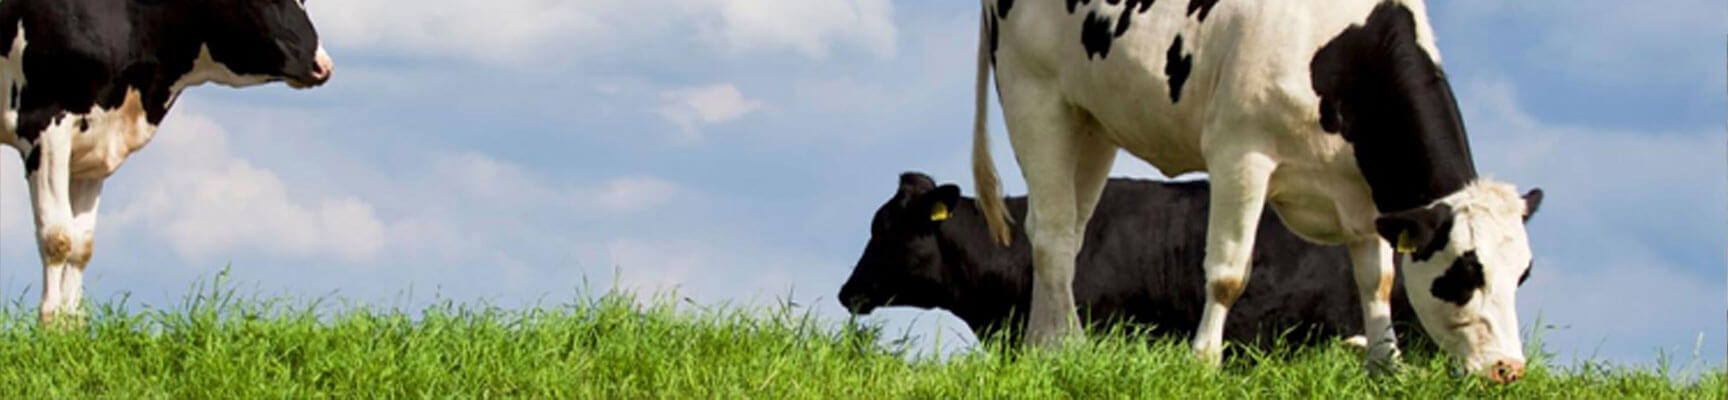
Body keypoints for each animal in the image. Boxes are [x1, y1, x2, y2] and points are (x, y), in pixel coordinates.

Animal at [0, 0, 333, 325]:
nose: (323, 66)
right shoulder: (43, 122)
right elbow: (58, 237)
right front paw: (49, 324)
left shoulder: (94, 145)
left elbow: (81, 246)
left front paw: (71, 329)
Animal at [971, 0, 1543, 382]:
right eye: (1465, 272)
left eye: (1522, 275)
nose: (1508, 369)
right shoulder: (1239, 156)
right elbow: (1227, 274)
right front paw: (1203, 362)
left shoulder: (1364, 199)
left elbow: (1376, 281)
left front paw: (1386, 366)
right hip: (1034, 93)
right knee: (1050, 232)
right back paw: (1061, 344)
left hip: (1091, 120)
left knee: (1067, 232)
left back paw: (1044, 343)